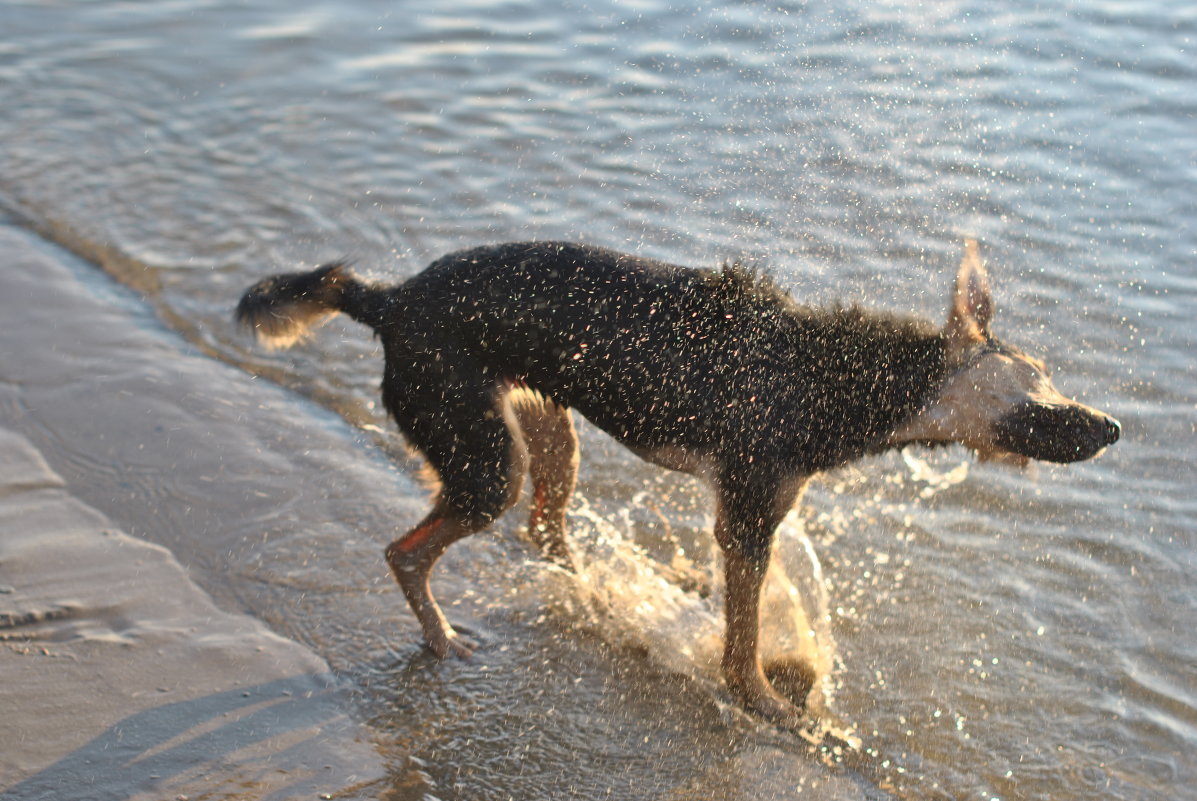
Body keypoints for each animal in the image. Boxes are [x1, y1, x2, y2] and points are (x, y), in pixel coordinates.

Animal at [238, 237, 1115, 723]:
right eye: (1037, 387)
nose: (1109, 427)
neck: (842, 374)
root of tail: (388, 299)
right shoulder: (749, 515)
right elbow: (743, 640)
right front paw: (764, 702)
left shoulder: (749, 512)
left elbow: (743, 613)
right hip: (485, 461)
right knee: (407, 551)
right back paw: (443, 637)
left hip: (544, 431)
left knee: (545, 530)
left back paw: (616, 591)